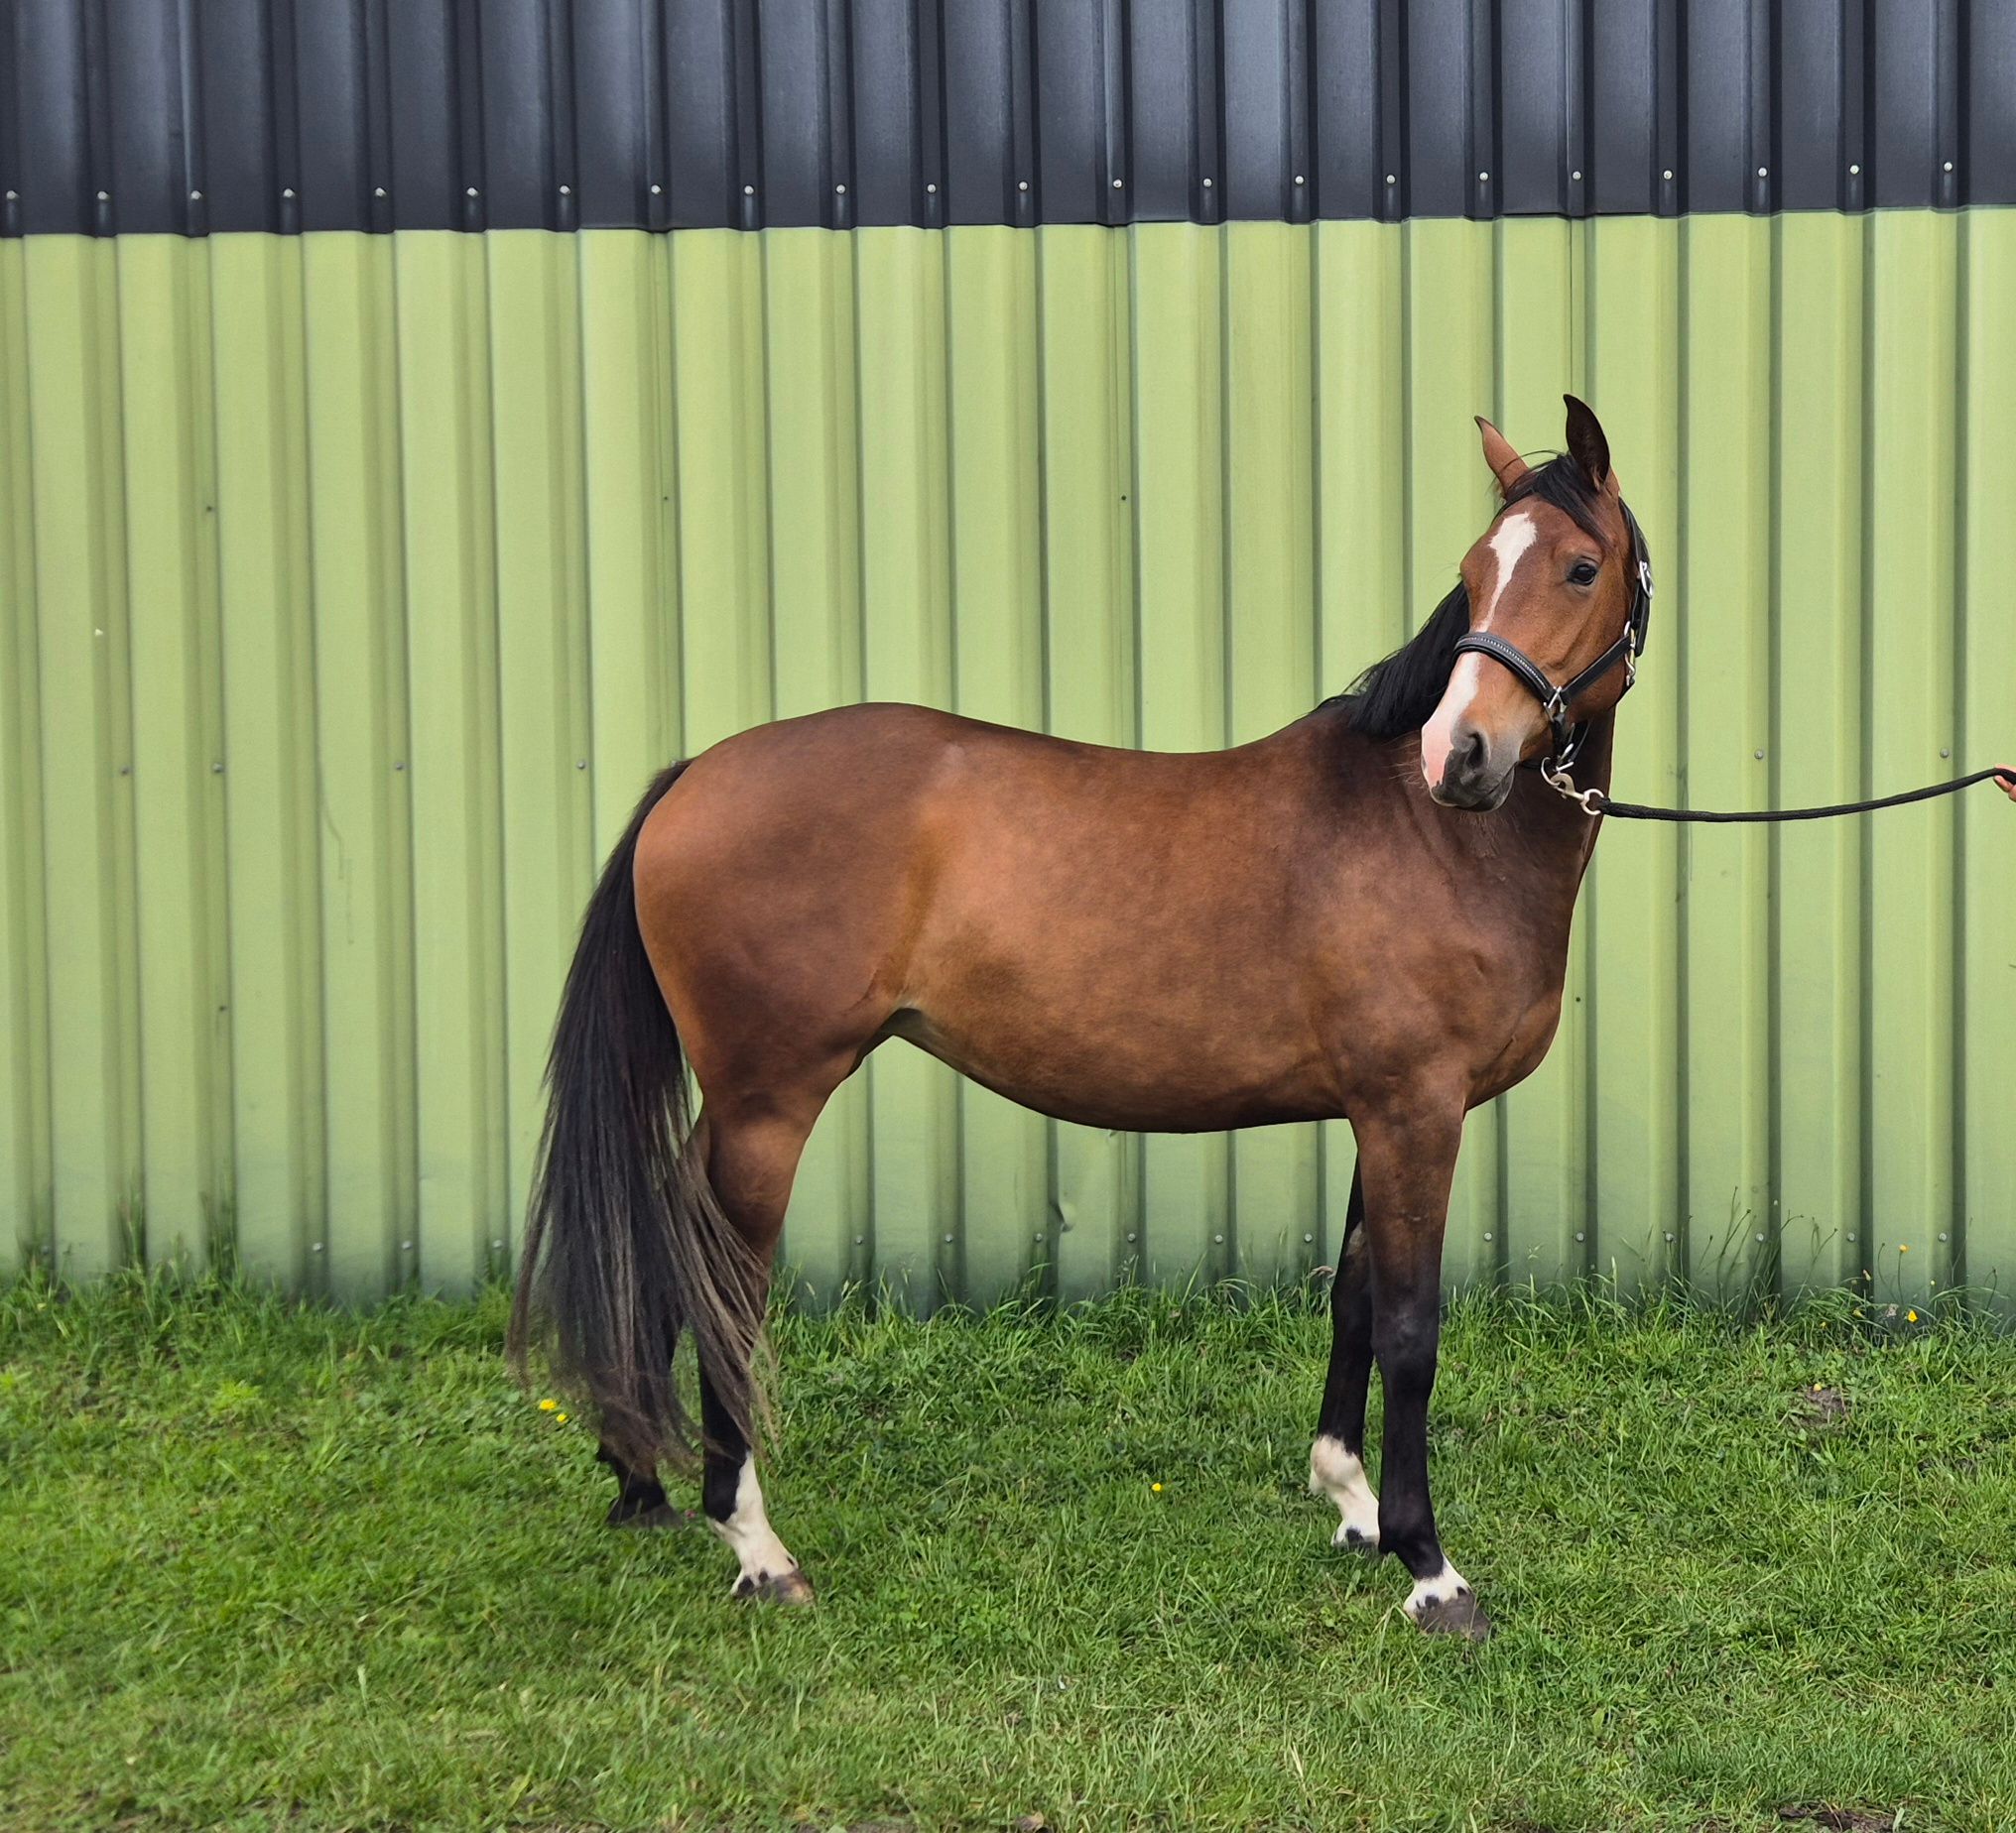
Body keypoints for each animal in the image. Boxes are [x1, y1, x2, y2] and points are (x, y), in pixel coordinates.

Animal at [510, 396, 1656, 1642]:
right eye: (1473, 572)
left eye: (1578, 566)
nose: (1461, 755)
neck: (1424, 834)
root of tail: (692, 777)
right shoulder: (1415, 1112)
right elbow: (1408, 1330)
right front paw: (1429, 1568)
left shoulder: (1379, 1112)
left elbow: (1352, 1298)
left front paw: (1350, 1504)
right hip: (770, 1104)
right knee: (725, 1288)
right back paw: (756, 1546)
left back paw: (643, 1483)